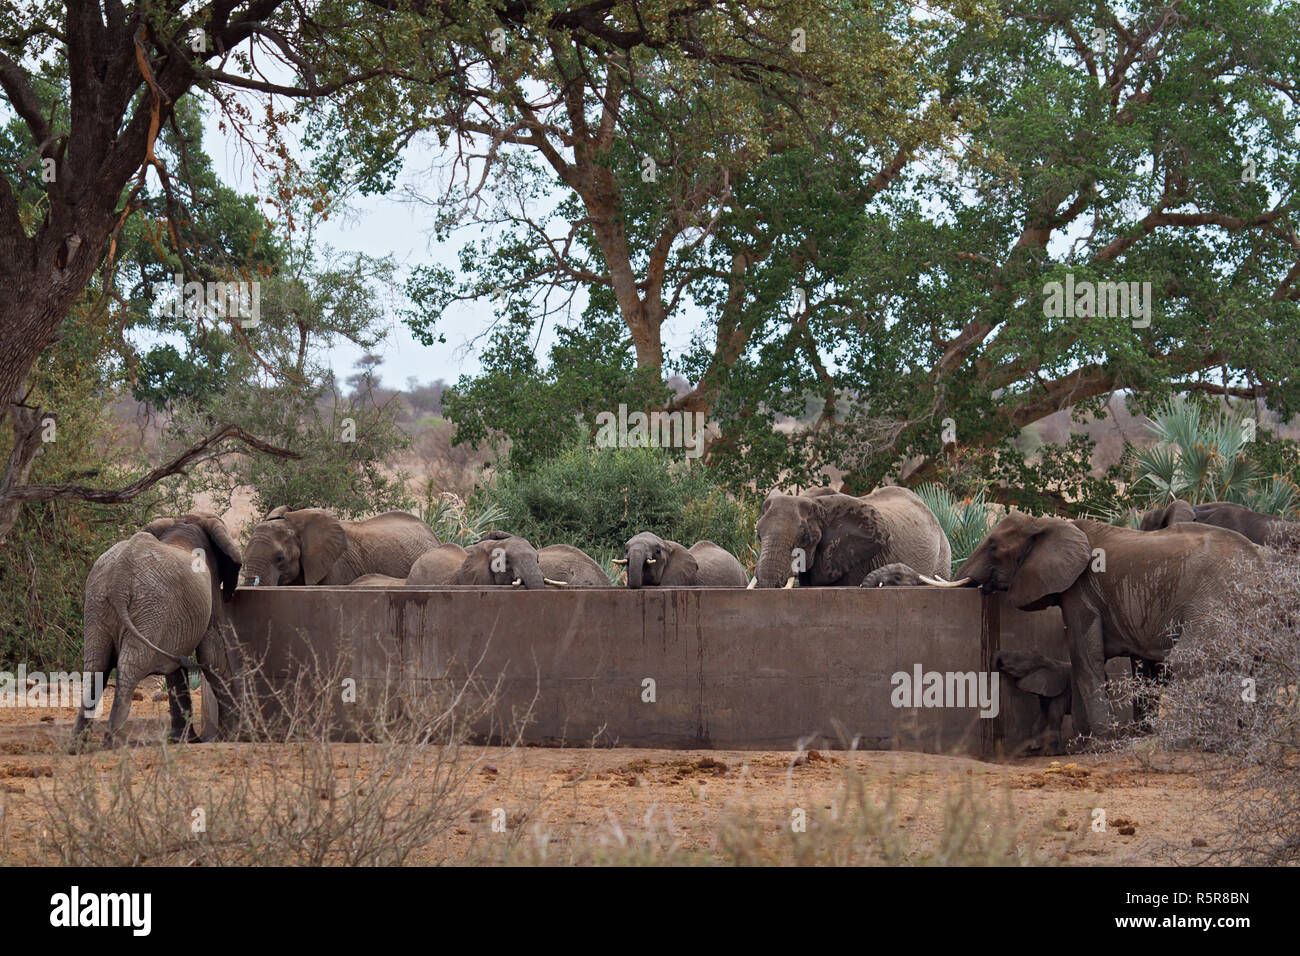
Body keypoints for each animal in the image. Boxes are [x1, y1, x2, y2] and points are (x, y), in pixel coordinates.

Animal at [73, 515, 243, 749]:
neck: (186, 522)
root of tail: (119, 576)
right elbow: (211, 654)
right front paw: (229, 735)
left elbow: (178, 666)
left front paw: (184, 740)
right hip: (150, 608)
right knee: (130, 665)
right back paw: (114, 743)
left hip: (98, 606)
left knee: (95, 666)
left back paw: (77, 746)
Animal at [956, 515, 1258, 733]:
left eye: (993, 547)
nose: (994, 659)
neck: (1049, 523)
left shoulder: (1081, 589)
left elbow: (1084, 656)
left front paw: (1099, 738)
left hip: (1214, 596)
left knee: (1192, 658)